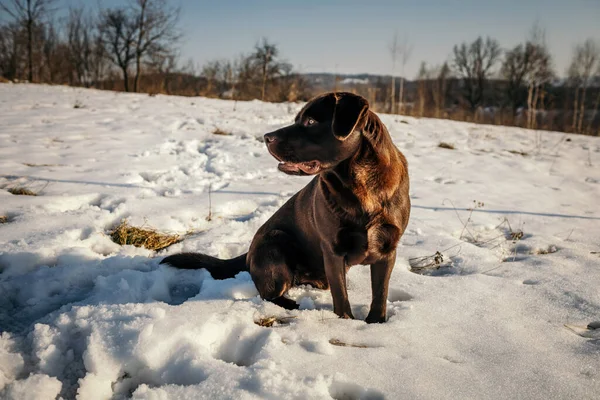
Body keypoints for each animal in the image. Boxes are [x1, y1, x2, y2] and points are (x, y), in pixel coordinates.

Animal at [162, 92, 410, 324]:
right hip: (276, 241)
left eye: (310, 121)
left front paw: (375, 323)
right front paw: (346, 322)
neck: (362, 185)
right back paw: (292, 304)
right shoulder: (333, 250)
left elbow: (380, 294)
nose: (266, 137)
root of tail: (249, 253)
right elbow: (341, 297)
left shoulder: (387, 249)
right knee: (269, 293)